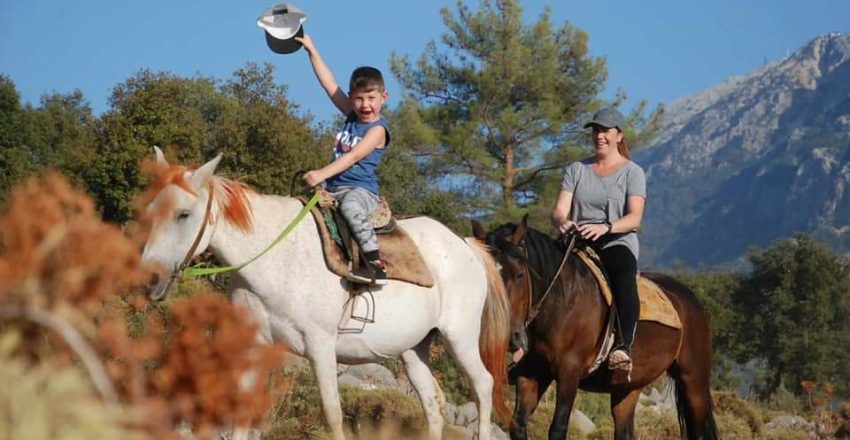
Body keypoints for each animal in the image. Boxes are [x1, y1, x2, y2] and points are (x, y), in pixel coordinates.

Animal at [140, 148, 511, 440]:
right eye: (149, 210)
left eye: (183, 214)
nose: (149, 280)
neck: (276, 258)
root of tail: (465, 244)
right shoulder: (253, 344)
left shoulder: (320, 346)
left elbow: (332, 412)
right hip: (414, 349)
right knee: (433, 403)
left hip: (460, 337)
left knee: (483, 386)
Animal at [473, 216, 718, 440]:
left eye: (519, 275)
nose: (509, 337)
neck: (559, 301)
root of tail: (689, 301)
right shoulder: (531, 372)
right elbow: (517, 425)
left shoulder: (569, 371)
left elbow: (558, 428)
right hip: (627, 387)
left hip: (693, 380)